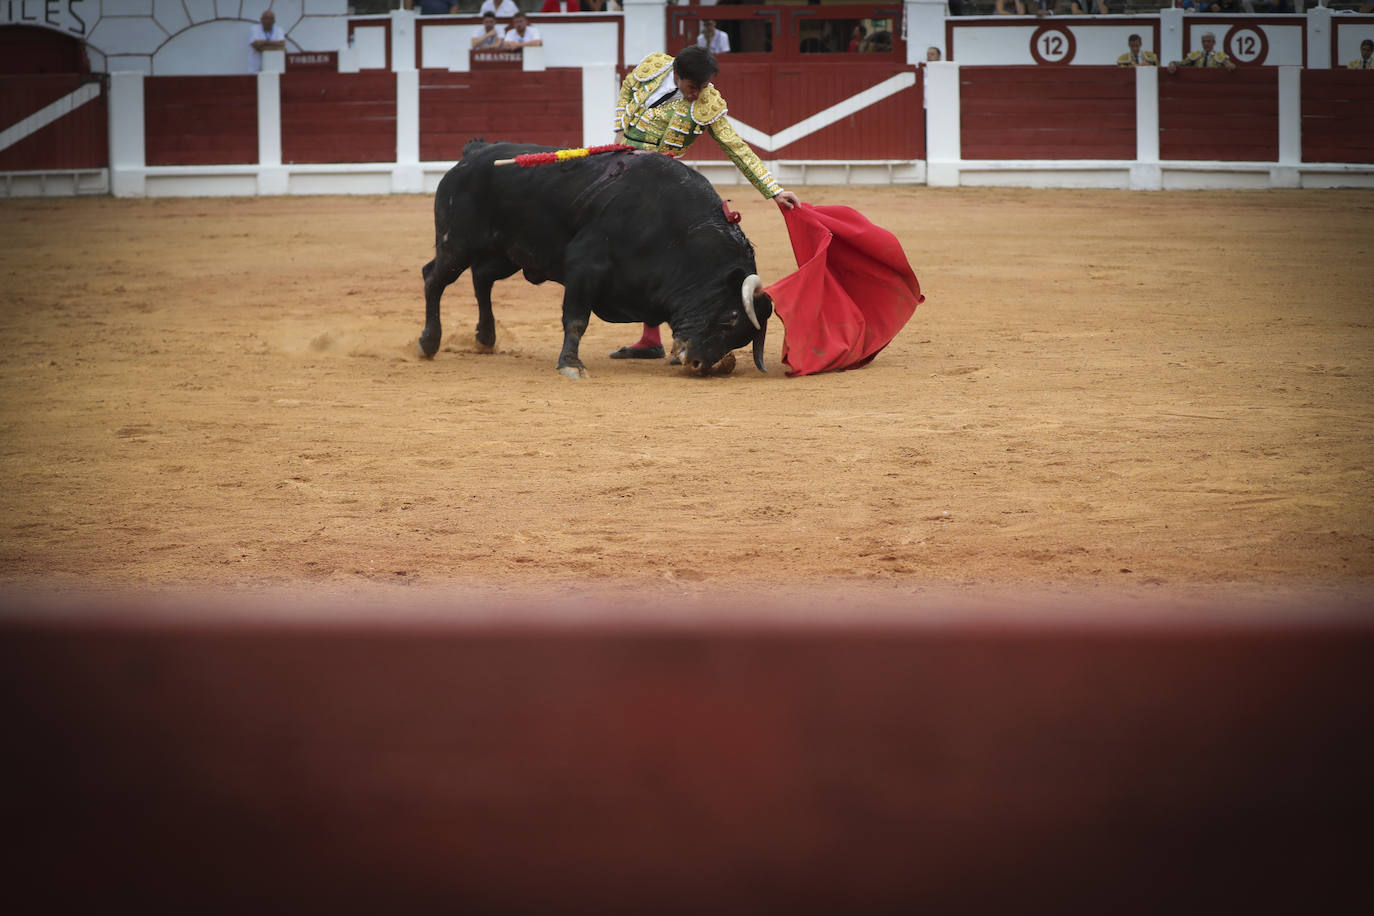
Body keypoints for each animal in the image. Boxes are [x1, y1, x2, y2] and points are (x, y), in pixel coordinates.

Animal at [417, 141, 774, 379]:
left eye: (743, 336)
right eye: (729, 319)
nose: (698, 364)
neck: (678, 232)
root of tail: (471, 155)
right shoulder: (583, 268)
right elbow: (576, 319)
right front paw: (571, 365)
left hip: (508, 254)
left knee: (481, 278)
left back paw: (485, 339)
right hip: (457, 243)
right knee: (434, 278)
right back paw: (428, 343)